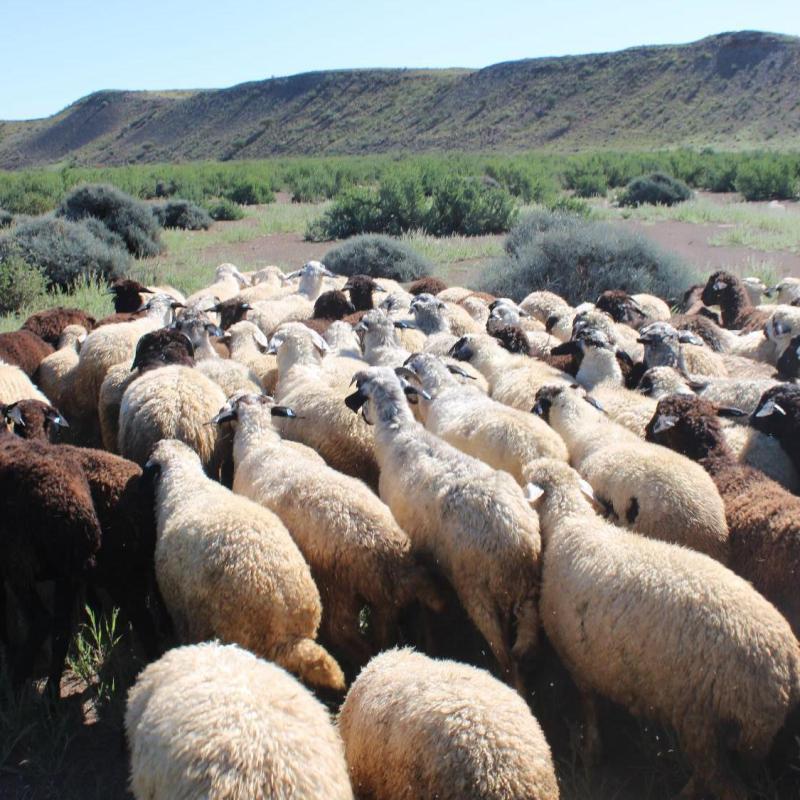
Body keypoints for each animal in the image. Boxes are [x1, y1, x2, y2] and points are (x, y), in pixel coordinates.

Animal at [525, 457, 800, 800]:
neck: (569, 523)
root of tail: (787, 668)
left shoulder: (576, 659)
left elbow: (589, 708)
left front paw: (591, 753)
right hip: (747, 736)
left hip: (705, 719)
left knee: (722, 782)